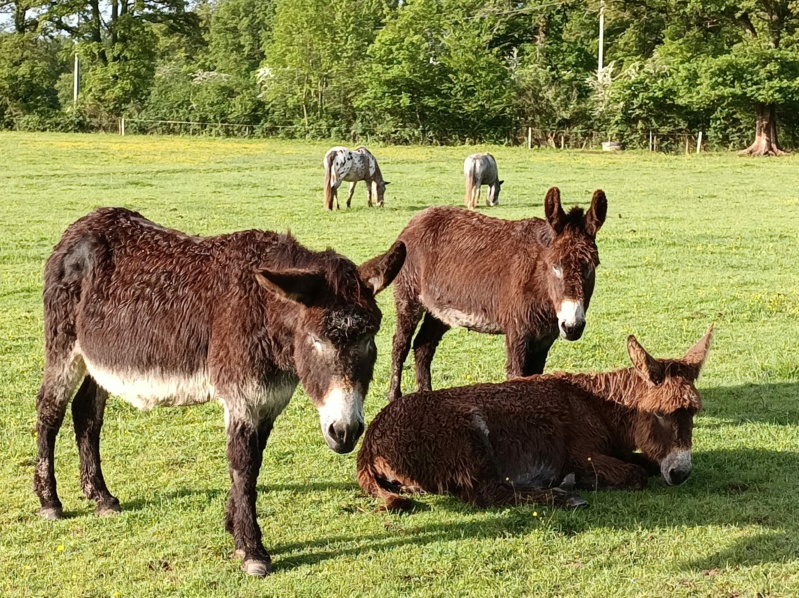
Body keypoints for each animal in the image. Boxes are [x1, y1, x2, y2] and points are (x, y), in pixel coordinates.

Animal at [31, 209, 406, 580]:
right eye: (316, 340)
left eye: (370, 339)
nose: (345, 432)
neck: (264, 311)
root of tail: (82, 225)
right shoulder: (242, 395)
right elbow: (243, 463)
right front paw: (253, 551)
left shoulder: (269, 399)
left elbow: (254, 462)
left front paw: (234, 527)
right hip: (64, 345)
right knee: (49, 411)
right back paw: (50, 502)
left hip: (99, 361)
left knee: (86, 413)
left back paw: (101, 497)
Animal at [356, 326, 712, 512]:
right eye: (661, 414)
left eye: (693, 413)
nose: (680, 473)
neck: (596, 405)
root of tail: (370, 440)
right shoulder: (581, 454)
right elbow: (636, 473)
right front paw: (586, 481)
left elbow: (646, 463)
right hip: (467, 436)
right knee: (489, 495)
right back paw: (564, 495)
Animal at [382, 188, 608, 404]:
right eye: (554, 265)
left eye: (592, 266)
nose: (572, 327)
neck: (540, 286)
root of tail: (417, 219)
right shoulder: (518, 332)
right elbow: (516, 376)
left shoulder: (545, 338)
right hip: (408, 298)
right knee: (400, 345)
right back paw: (394, 396)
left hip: (440, 309)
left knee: (423, 346)